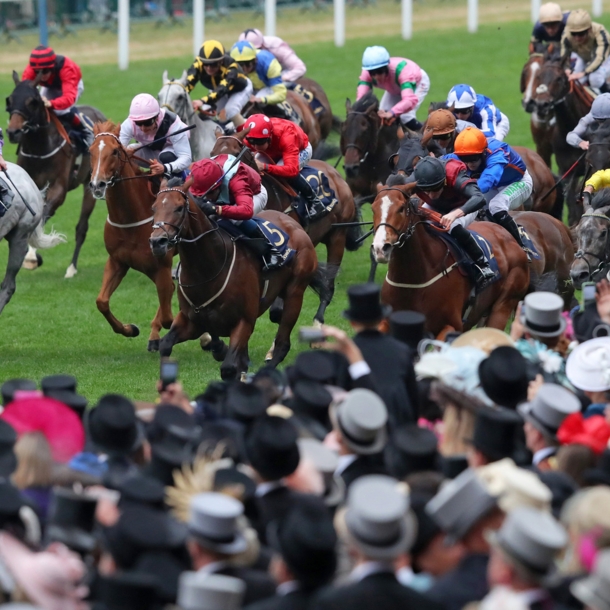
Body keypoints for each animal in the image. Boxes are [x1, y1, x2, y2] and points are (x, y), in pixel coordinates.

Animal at [6, 70, 105, 276]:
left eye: (32, 101)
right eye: (9, 100)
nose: (13, 132)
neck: (39, 148)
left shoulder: (58, 188)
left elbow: (43, 214)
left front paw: (31, 256)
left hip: (90, 185)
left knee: (82, 227)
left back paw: (71, 268)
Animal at [85, 122, 173, 352]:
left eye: (115, 151)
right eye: (90, 151)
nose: (97, 185)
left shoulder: (160, 266)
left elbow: (169, 315)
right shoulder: (117, 261)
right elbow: (101, 302)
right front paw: (130, 329)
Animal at [149, 176, 316, 378]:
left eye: (179, 208)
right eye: (154, 208)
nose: (157, 242)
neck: (207, 269)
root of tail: (293, 222)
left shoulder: (244, 322)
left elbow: (229, 367)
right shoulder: (191, 320)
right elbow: (165, 345)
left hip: (295, 292)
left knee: (282, 343)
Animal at [210, 132, 360, 324]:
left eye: (236, 153)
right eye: (213, 153)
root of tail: (336, 174)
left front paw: (278, 309)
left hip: (337, 236)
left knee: (328, 282)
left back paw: (318, 318)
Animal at [368, 180, 528, 334]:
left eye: (401, 208)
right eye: (373, 208)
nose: (380, 248)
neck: (413, 281)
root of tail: (510, 237)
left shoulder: (452, 325)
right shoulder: (389, 323)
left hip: (503, 306)